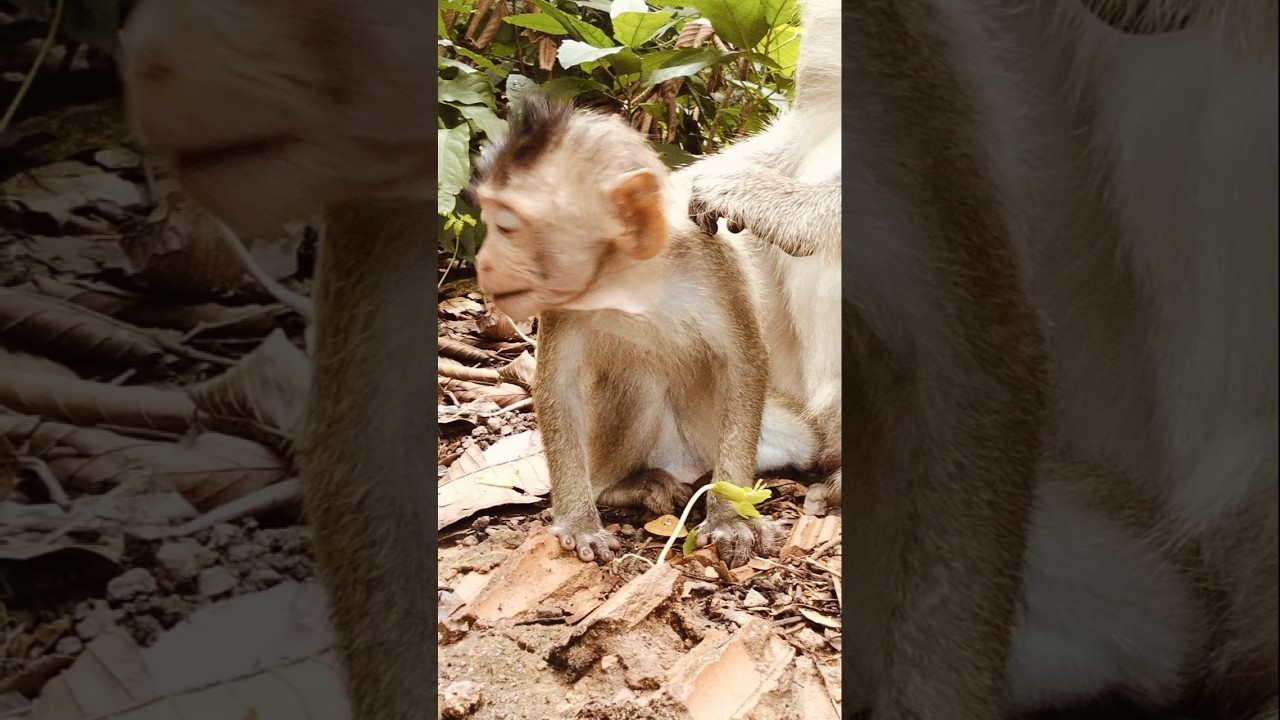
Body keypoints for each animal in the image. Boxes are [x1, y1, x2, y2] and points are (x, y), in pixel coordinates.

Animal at [470, 97, 822, 568]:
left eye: (508, 226)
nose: (483, 261)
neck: (631, 279)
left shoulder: (714, 261)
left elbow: (745, 364)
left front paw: (729, 517)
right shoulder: (563, 301)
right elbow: (559, 389)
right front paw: (578, 522)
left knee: (803, 440)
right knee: (639, 380)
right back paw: (627, 485)